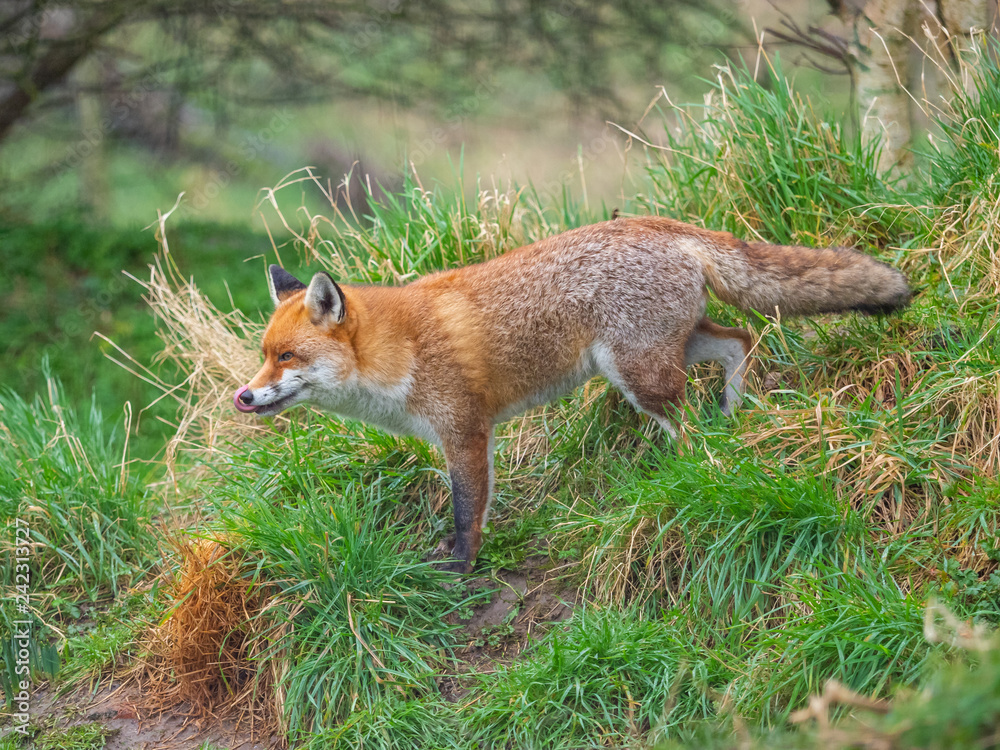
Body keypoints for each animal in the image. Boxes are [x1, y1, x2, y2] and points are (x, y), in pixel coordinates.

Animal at [233, 216, 910, 572]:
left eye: (286, 357)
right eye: (264, 354)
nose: (243, 396)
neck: (400, 351)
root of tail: (662, 222)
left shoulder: (465, 431)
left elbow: (466, 511)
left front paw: (461, 568)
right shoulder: (474, 437)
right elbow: (474, 506)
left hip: (640, 375)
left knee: (690, 425)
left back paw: (693, 472)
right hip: (672, 349)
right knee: (740, 341)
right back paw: (733, 413)